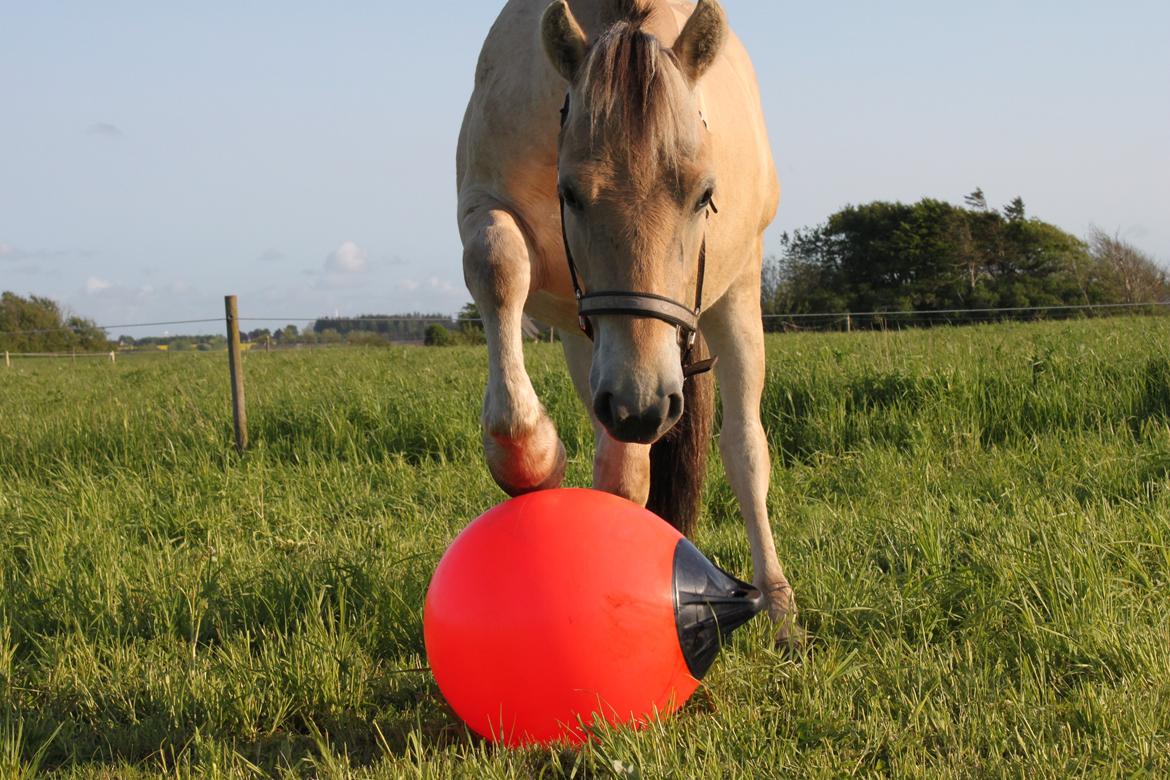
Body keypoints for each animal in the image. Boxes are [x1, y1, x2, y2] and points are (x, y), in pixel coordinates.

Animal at [451, 0, 800, 645]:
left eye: (704, 194)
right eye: (569, 193)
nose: (642, 404)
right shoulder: (485, 209)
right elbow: (496, 262)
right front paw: (531, 457)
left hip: (734, 294)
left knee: (743, 448)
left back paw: (778, 604)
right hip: (587, 344)